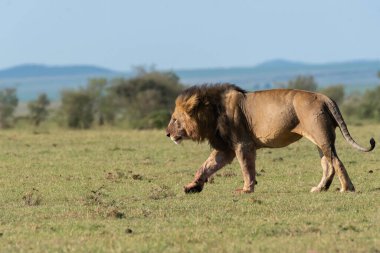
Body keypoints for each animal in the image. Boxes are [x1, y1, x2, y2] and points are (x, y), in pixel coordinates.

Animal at [166, 84, 374, 193]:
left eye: (175, 119)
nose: (167, 134)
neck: (212, 111)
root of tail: (324, 97)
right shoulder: (225, 148)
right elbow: (206, 166)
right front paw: (192, 186)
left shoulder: (242, 144)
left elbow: (246, 168)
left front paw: (246, 190)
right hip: (319, 139)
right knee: (327, 164)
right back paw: (320, 188)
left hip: (321, 136)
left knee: (336, 162)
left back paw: (347, 188)